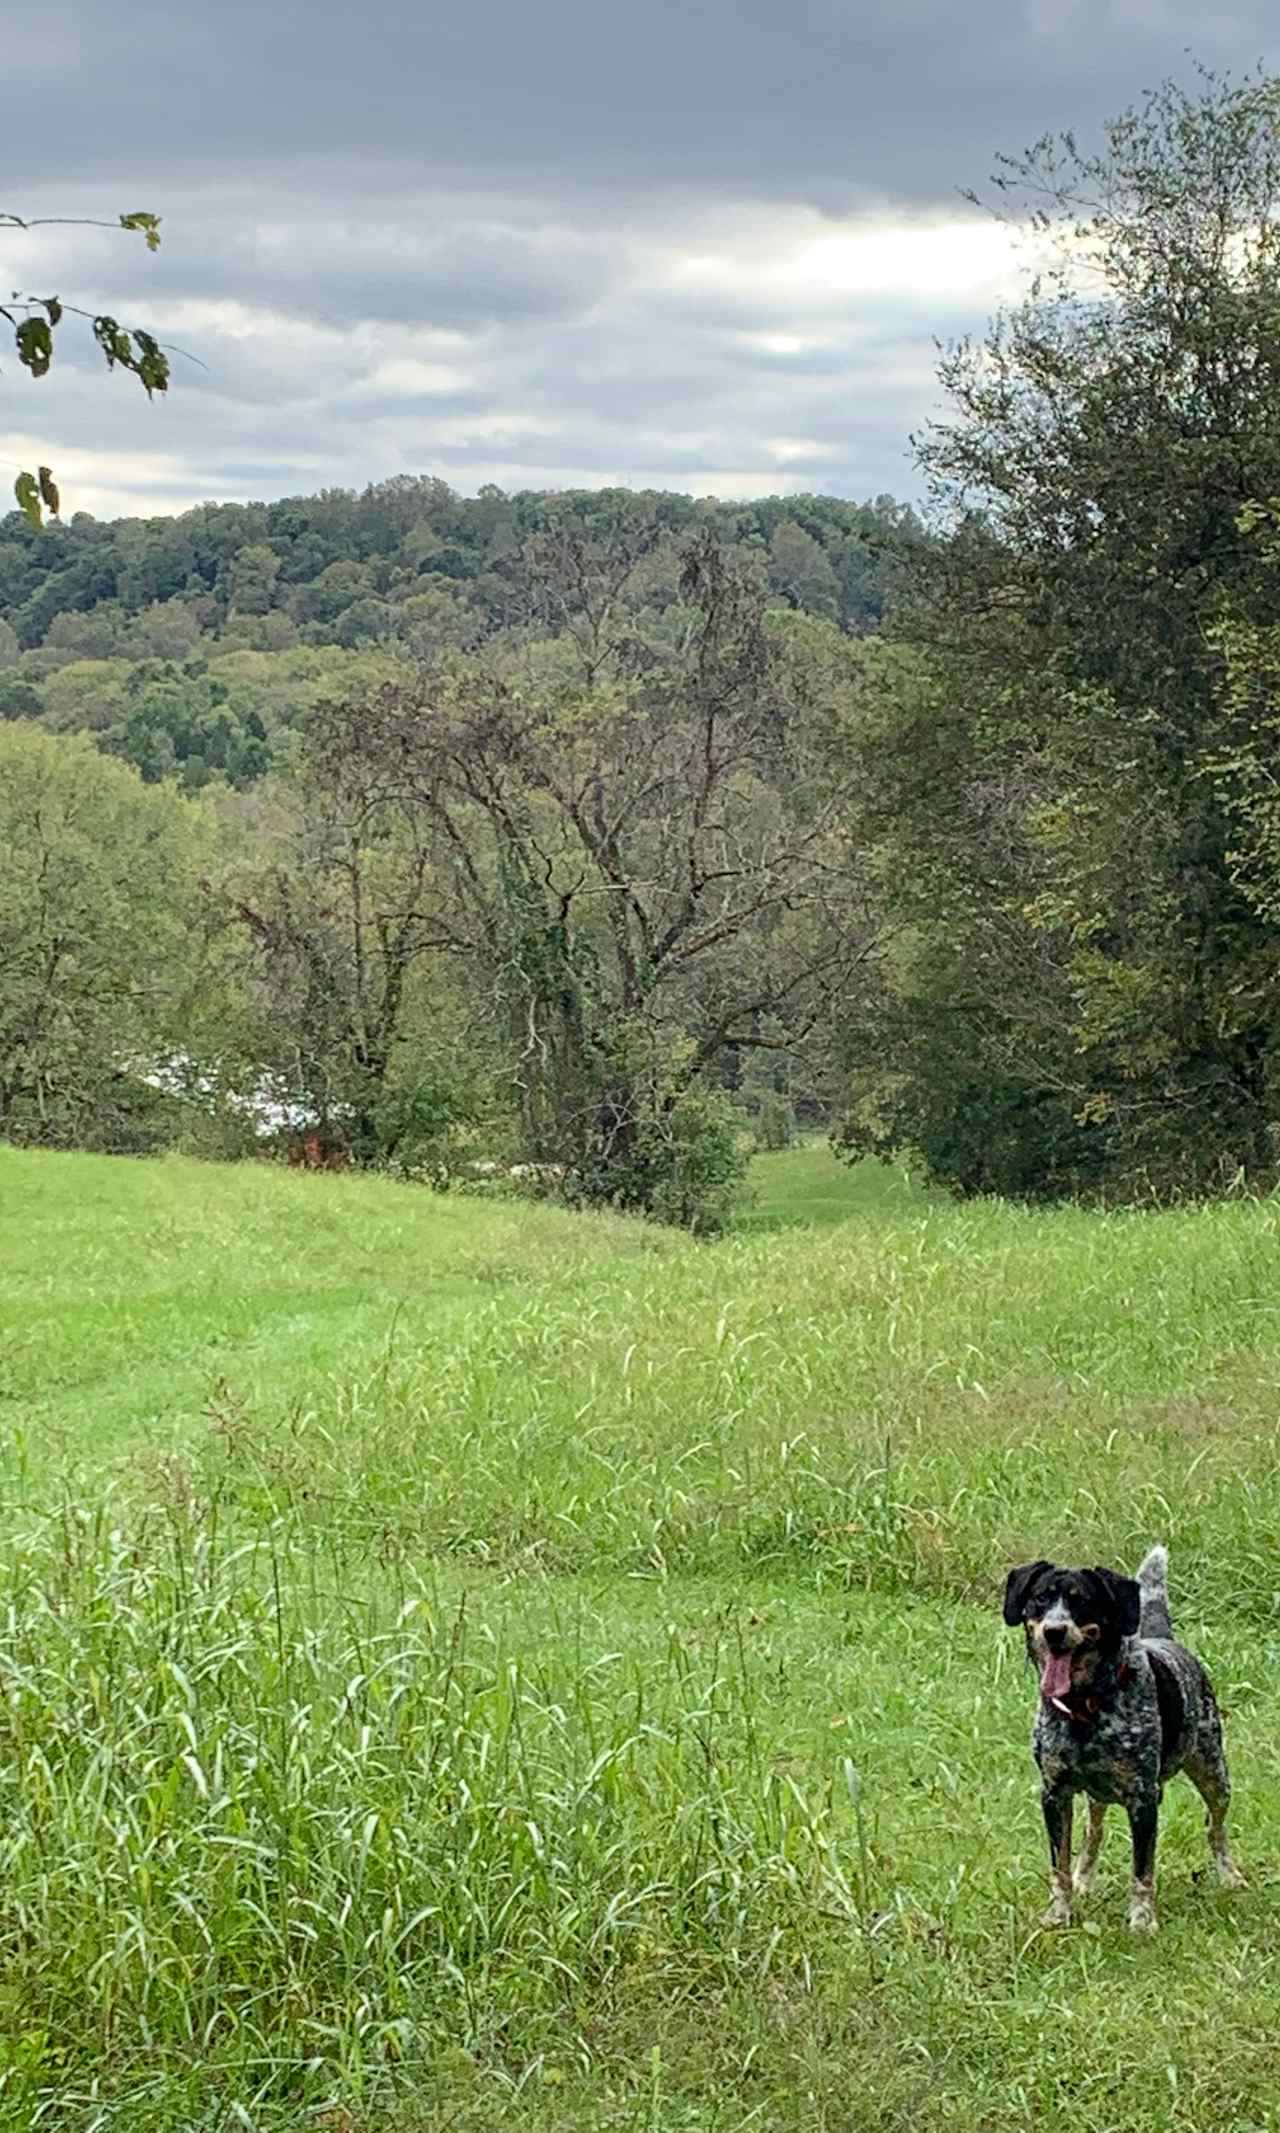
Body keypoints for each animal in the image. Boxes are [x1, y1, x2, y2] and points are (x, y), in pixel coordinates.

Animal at [1006, 1552, 1245, 1936]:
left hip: (1214, 1772)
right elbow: (1059, 1865)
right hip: (1097, 1796)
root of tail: (1164, 1638)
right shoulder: (1054, 1794)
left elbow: (1142, 1870)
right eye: (1041, 1598)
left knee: (1215, 1827)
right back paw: (1084, 1878)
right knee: (1092, 1832)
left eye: (1082, 1601)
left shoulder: (1144, 1797)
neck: (1084, 1707)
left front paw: (1142, 1920)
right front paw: (1059, 1913)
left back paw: (1229, 1876)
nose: (1054, 1631)